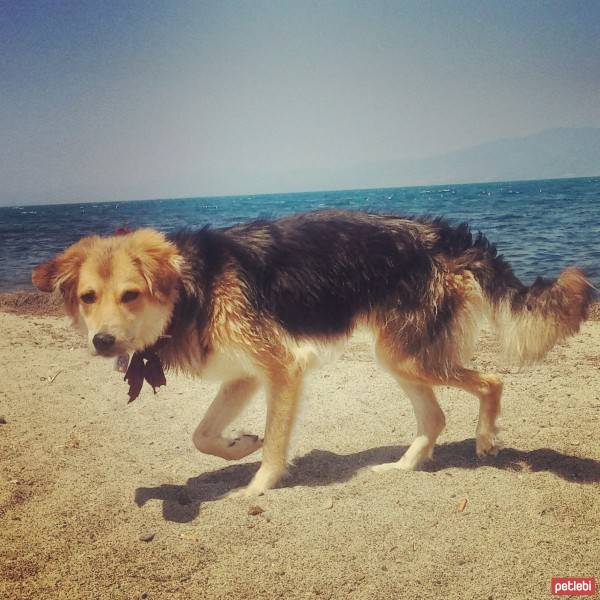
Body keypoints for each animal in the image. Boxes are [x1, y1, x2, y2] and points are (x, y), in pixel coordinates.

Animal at [31, 211, 592, 496]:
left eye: (130, 295)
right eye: (88, 297)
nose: (102, 342)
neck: (197, 284)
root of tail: (447, 234)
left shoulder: (282, 368)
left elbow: (276, 445)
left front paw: (257, 487)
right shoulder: (244, 375)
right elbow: (202, 435)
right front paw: (239, 444)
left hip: (406, 354)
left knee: (492, 383)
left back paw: (485, 440)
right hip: (398, 356)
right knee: (433, 417)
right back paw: (403, 467)